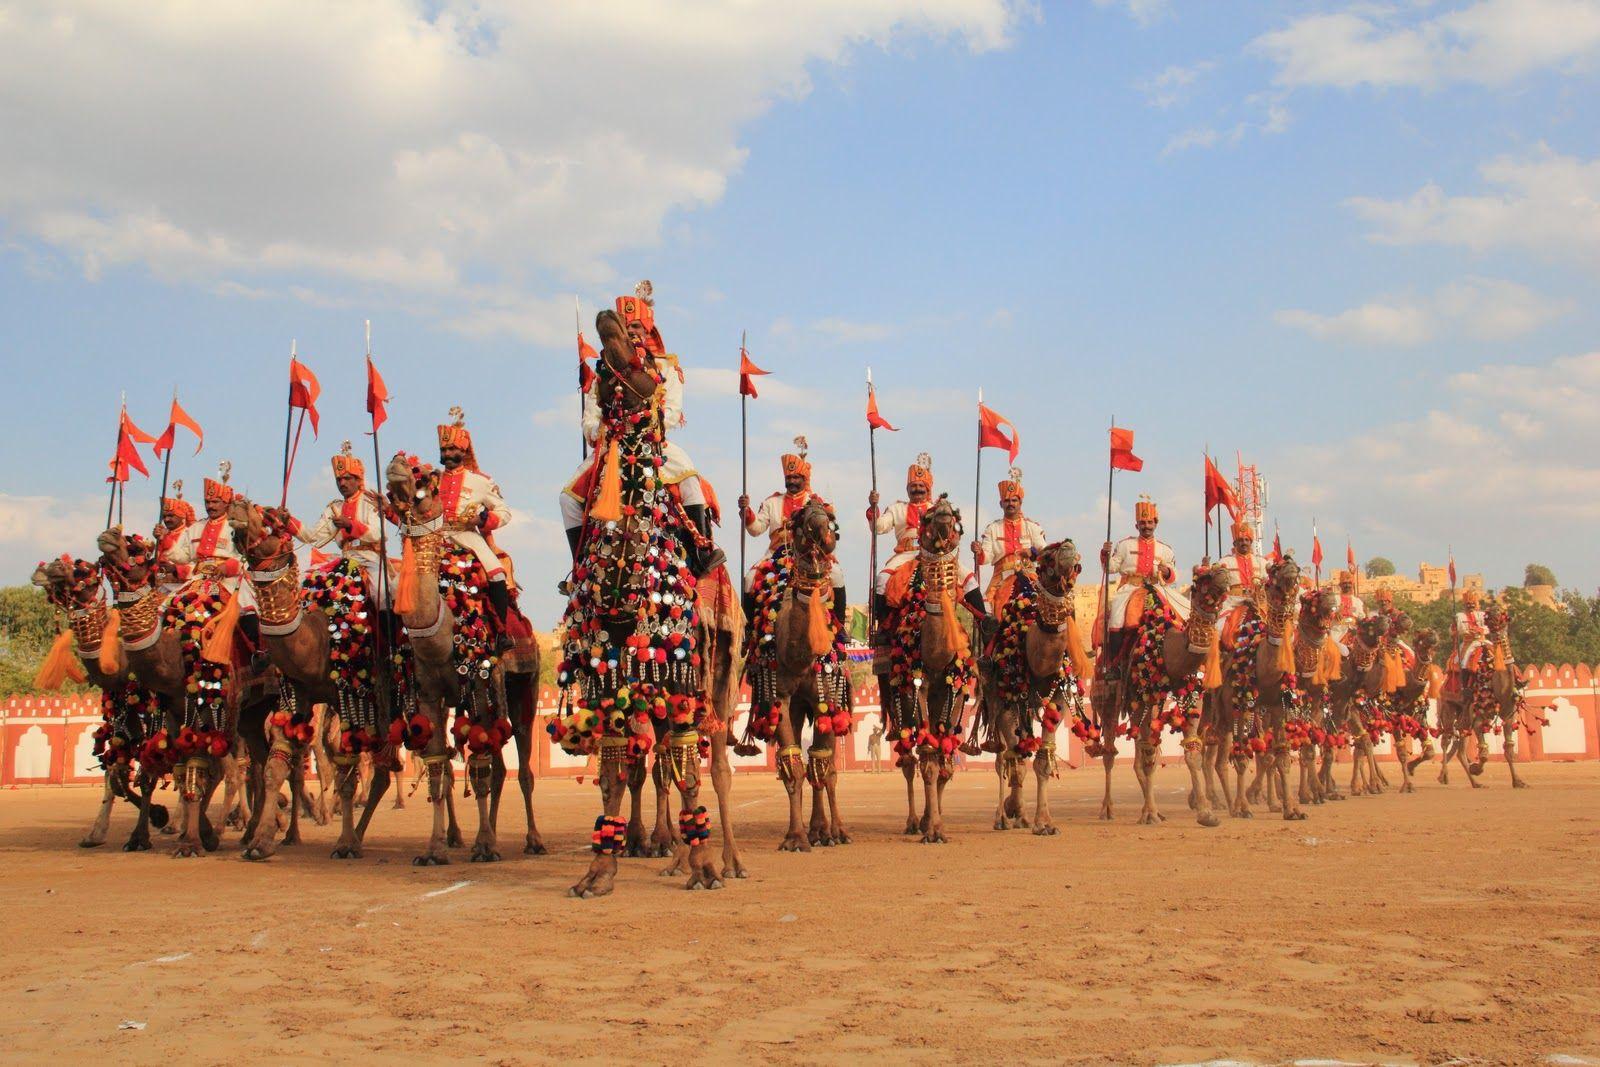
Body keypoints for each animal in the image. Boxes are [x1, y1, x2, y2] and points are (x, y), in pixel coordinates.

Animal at [32, 559, 170, 851]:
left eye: (83, 572)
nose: (40, 572)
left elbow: (146, 778)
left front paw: (145, 831)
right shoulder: (123, 723)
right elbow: (116, 778)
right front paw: (95, 834)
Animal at [876, 495, 972, 844]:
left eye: (955, 515)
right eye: (928, 517)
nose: (942, 509)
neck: (935, 654)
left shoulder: (954, 689)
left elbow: (945, 760)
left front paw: (939, 824)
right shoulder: (917, 685)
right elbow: (928, 758)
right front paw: (931, 829)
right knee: (907, 758)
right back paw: (913, 821)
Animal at [966, 543, 1094, 831]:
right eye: (1046, 556)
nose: (1069, 548)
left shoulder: (1058, 697)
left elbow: (1043, 760)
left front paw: (1043, 822)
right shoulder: (1006, 697)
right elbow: (1016, 757)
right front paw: (1012, 808)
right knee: (1002, 755)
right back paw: (1002, 817)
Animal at [1094, 566, 1228, 825]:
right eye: (1203, 578)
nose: (1224, 576)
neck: (1164, 647)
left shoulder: (1191, 692)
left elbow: (1191, 751)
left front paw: (1206, 812)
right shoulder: (1145, 694)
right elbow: (1148, 755)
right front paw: (1150, 814)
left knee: (1141, 750)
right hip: (1105, 699)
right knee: (1110, 751)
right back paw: (1107, 809)